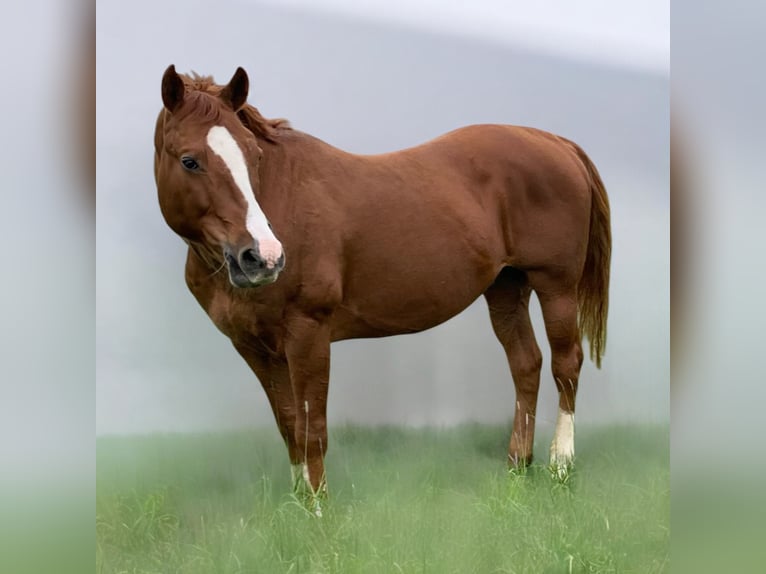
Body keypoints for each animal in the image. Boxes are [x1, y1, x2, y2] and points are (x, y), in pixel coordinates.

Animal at [153, 64, 616, 508]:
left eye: (253, 155)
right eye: (190, 161)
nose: (263, 258)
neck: (283, 200)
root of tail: (557, 143)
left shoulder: (308, 334)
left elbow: (312, 427)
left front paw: (319, 511)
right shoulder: (254, 348)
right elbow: (288, 425)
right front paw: (299, 503)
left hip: (556, 285)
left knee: (565, 364)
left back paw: (560, 464)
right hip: (506, 287)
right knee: (526, 363)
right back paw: (518, 464)